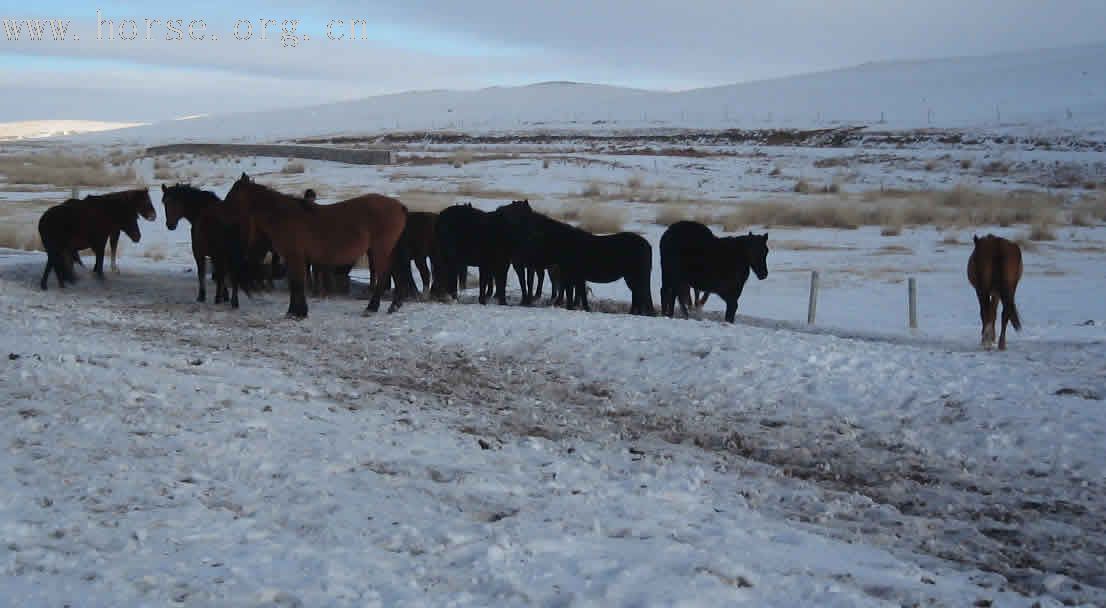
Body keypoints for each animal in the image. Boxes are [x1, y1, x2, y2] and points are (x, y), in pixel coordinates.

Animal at [224, 173, 411, 318]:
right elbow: (296, 283)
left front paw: (297, 312)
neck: (284, 216)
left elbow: (297, 283)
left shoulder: (295, 257)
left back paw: (372, 308)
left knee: (384, 275)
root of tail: (399, 206)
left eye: (233, 194)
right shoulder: (295, 259)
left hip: (380, 249)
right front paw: (296, 311)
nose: (222, 213)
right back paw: (394, 305)